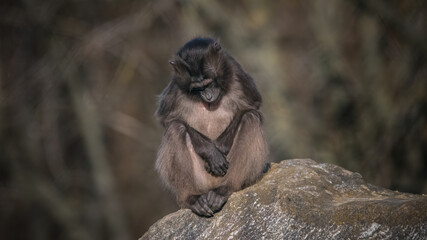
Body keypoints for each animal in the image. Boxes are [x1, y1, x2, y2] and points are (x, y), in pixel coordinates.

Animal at [155, 37, 270, 218]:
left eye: (209, 83)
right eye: (197, 88)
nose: (208, 96)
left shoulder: (236, 74)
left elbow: (252, 106)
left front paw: (221, 147)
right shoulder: (177, 86)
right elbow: (167, 119)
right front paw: (211, 153)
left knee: (250, 118)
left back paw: (224, 190)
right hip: (200, 181)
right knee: (175, 129)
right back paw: (192, 198)